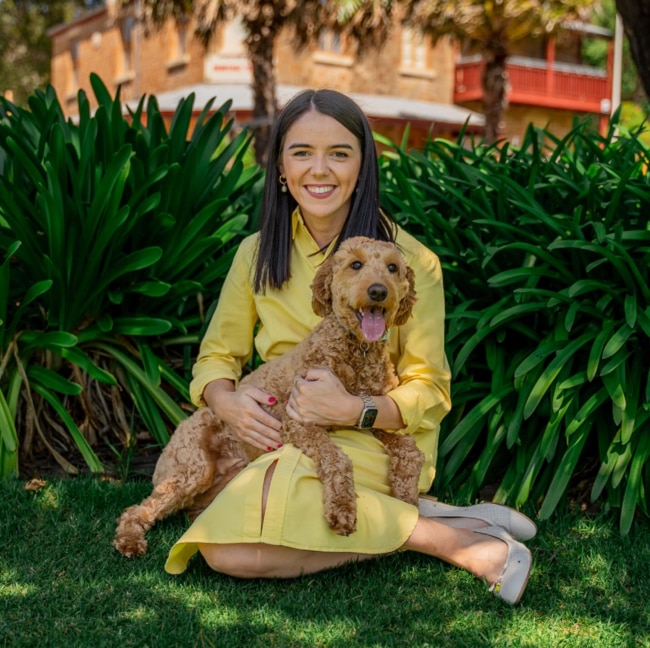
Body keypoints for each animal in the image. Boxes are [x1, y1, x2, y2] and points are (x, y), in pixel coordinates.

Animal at [114, 237, 422, 556]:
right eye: (356, 264)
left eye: (392, 267)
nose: (378, 291)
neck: (357, 350)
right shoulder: (298, 421)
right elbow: (338, 459)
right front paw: (342, 510)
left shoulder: (375, 414)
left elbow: (412, 452)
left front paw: (407, 502)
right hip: (192, 468)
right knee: (139, 509)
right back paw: (130, 540)